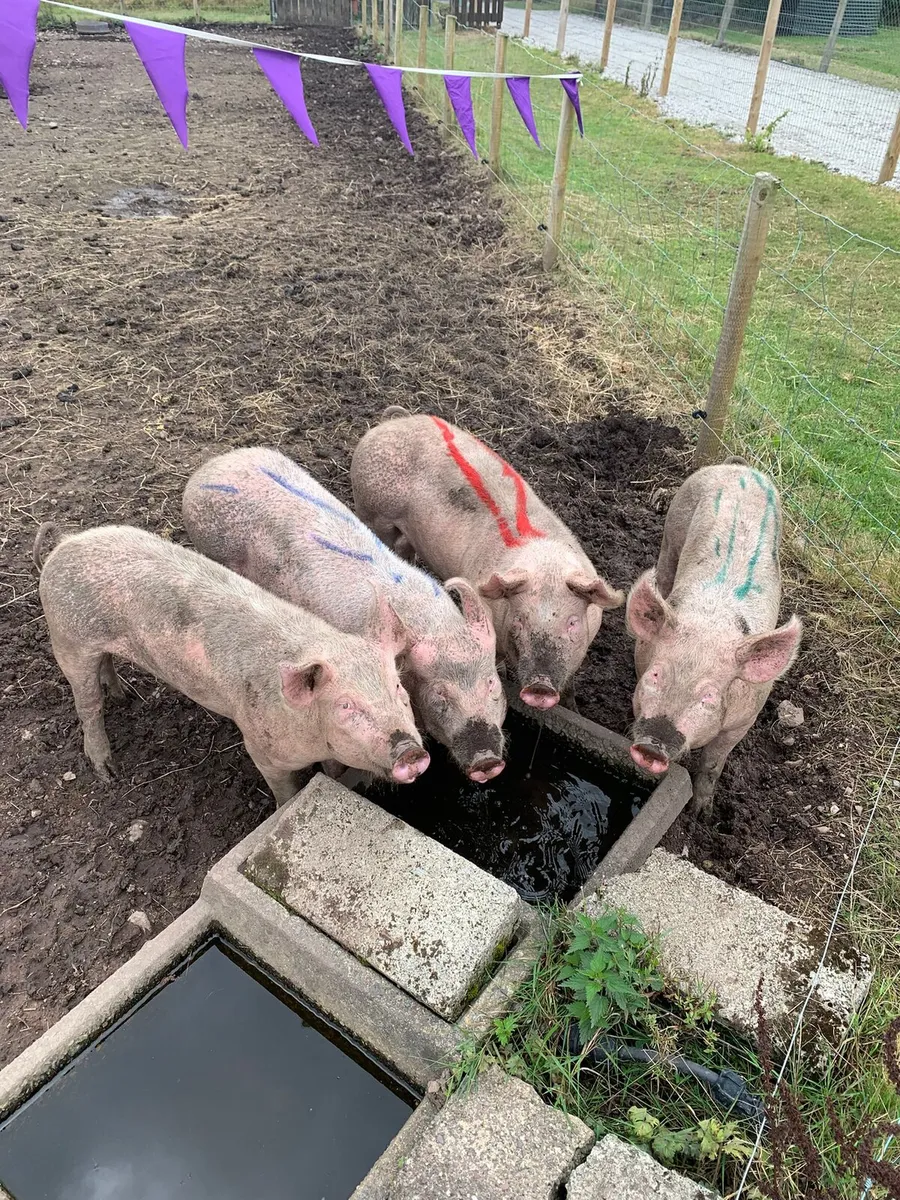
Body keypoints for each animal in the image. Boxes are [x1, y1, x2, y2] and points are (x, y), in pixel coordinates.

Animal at [34, 524, 429, 804]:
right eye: (345, 705)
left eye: (397, 687)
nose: (411, 751)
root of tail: (65, 543)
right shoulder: (261, 748)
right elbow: (285, 793)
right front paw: (283, 806)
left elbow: (332, 770)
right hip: (67, 639)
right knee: (87, 705)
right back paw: (107, 770)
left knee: (105, 667)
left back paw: (125, 696)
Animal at [350, 408, 624, 709]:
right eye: (520, 620)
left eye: (572, 622)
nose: (540, 686)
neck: (545, 561)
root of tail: (392, 422)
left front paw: (573, 707)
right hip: (374, 513)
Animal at [625, 462, 802, 811]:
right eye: (656, 674)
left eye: (708, 696)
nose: (652, 746)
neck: (712, 624)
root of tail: (739, 467)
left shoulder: (744, 719)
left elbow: (713, 764)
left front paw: (702, 812)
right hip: (673, 530)